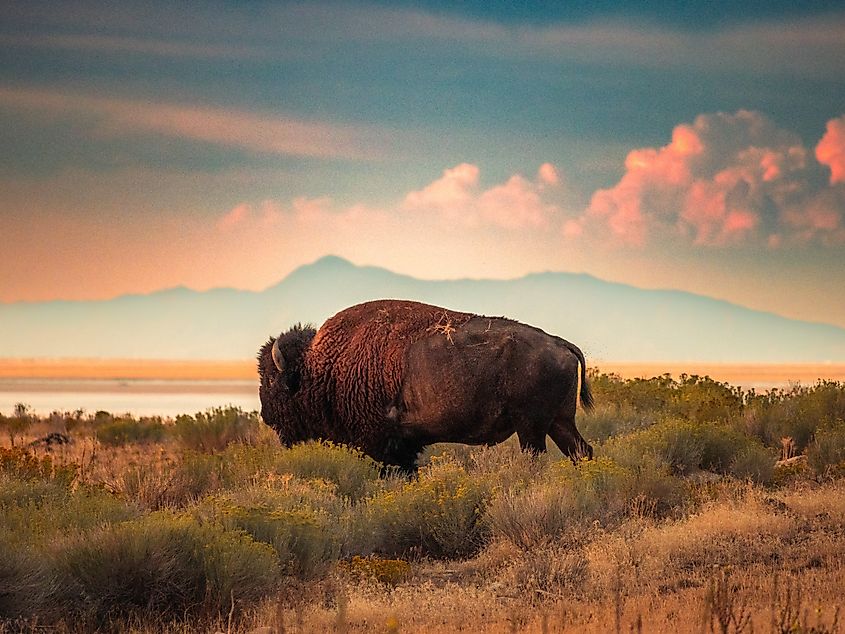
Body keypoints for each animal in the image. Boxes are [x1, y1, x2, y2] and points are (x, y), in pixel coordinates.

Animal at [258, 298, 592, 470]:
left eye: (272, 379)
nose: (265, 415)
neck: (321, 366)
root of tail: (560, 343)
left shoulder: (381, 444)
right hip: (559, 422)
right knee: (581, 451)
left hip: (531, 427)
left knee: (539, 456)